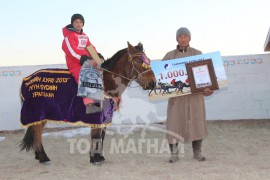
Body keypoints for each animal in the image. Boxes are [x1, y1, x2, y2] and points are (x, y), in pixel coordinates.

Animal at [20, 41, 156, 165]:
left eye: (148, 60)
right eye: (138, 61)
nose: (153, 83)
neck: (106, 82)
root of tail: (27, 80)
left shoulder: (105, 115)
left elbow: (101, 135)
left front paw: (99, 156)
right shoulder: (96, 115)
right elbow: (96, 135)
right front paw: (95, 158)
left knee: (36, 131)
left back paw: (39, 155)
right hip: (38, 112)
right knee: (37, 131)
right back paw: (43, 157)